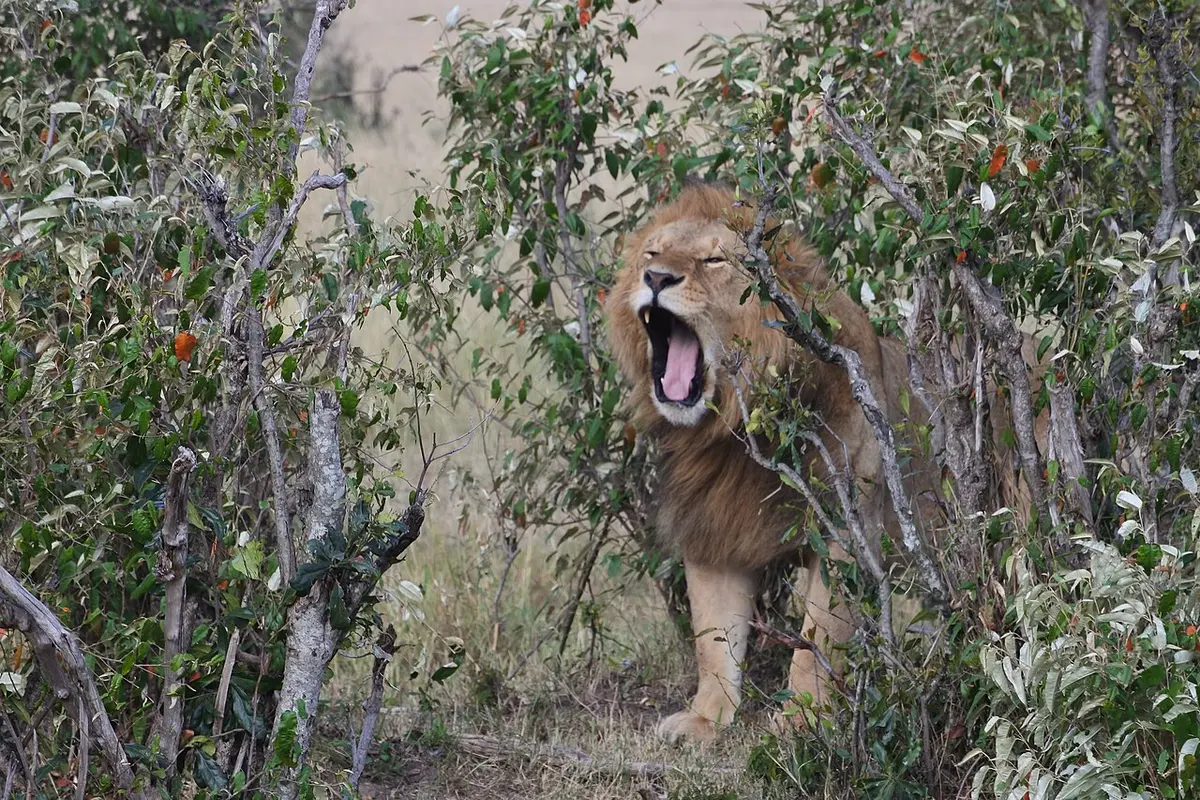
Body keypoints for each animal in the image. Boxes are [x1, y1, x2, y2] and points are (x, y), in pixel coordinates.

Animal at [604, 183, 1045, 744]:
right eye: (651, 253)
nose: (657, 279)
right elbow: (713, 637)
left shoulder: (846, 532)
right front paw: (707, 719)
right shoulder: (715, 530)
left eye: (714, 260)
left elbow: (818, 640)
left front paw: (800, 723)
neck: (731, 432)